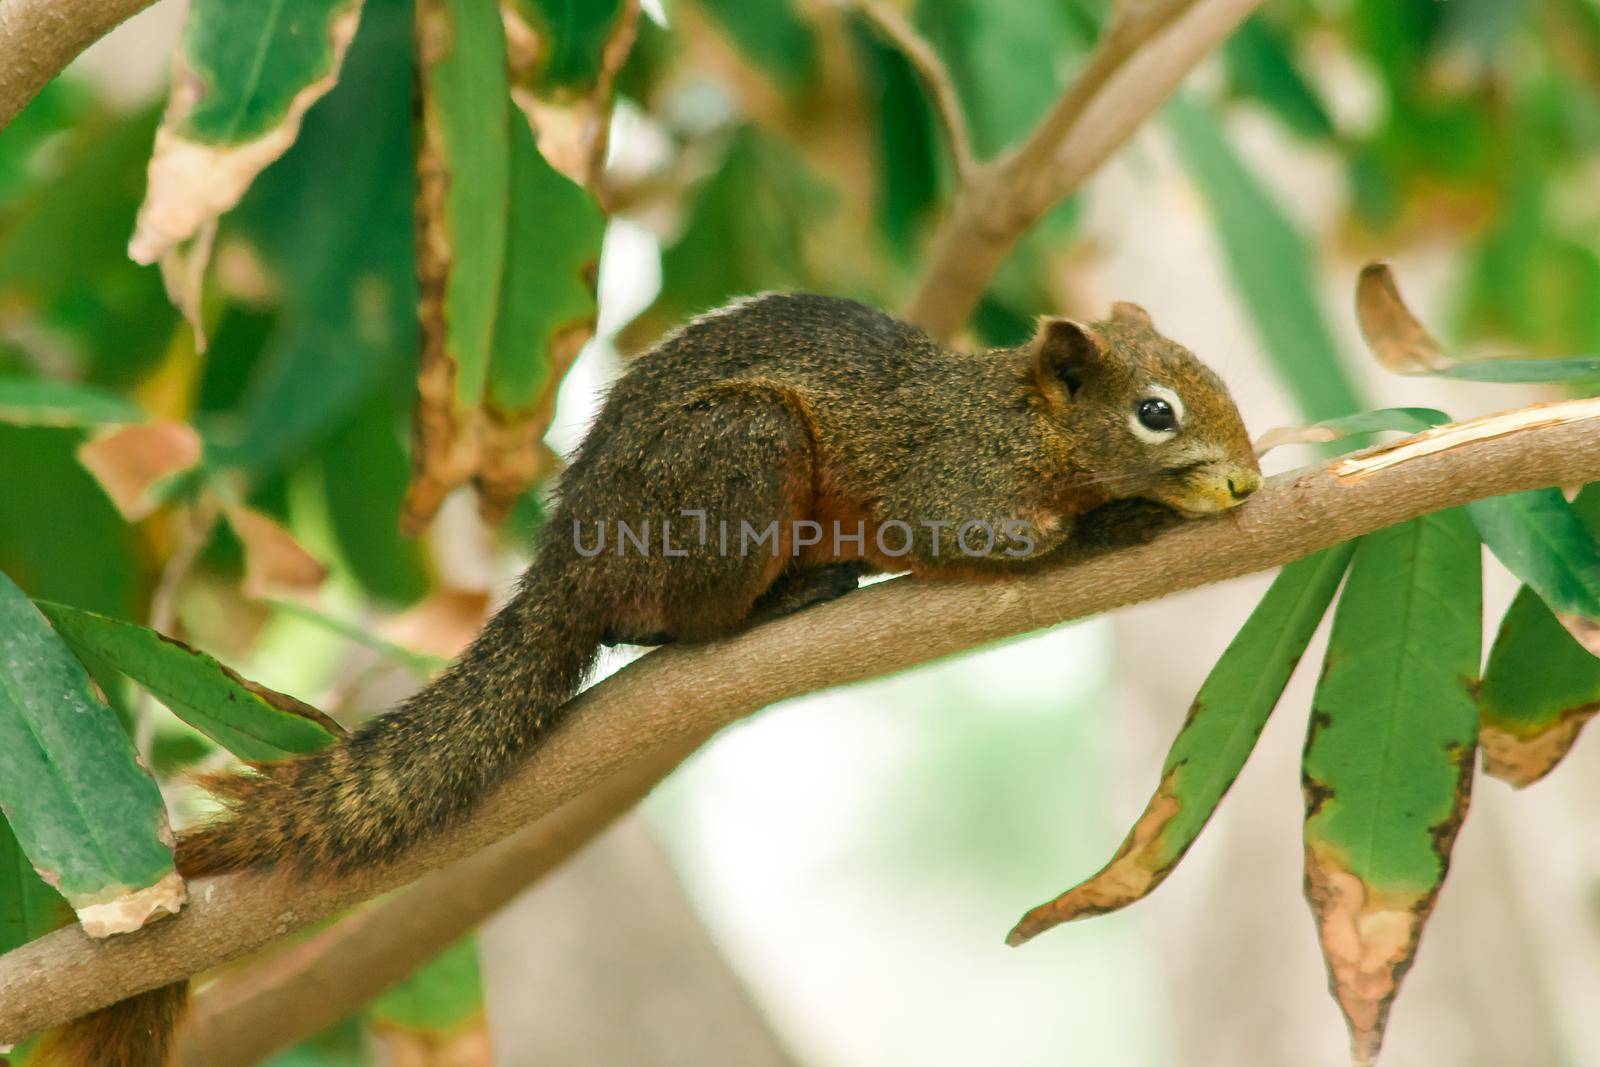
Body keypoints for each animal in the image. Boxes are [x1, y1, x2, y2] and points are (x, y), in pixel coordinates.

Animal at [40, 294, 1260, 1067]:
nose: (1247, 478)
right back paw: (787, 597)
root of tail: (564, 569)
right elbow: (998, 538)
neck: (1018, 419)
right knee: (674, 620)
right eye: (1154, 410)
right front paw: (1140, 514)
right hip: (735, 459)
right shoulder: (950, 481)